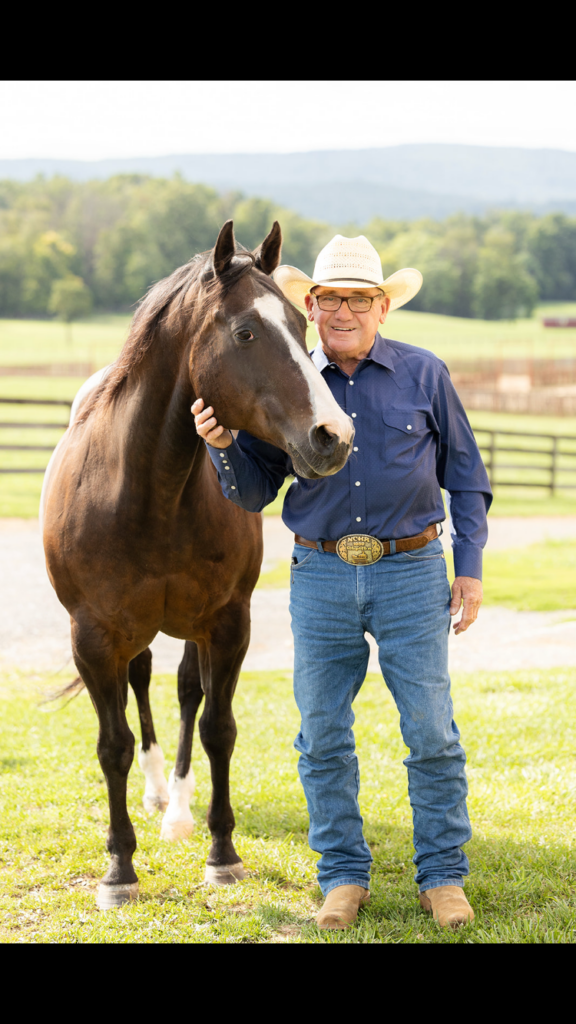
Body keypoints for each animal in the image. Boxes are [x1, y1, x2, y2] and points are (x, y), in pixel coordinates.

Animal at [41, 220, 354, 909]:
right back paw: (158, 794)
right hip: (131, 633)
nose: (333, 436)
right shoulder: (92, 636)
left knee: (186, 692)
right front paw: (119, 869)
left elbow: (217, 727)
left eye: (302, 321)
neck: (148, 491)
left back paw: (179, 810)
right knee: (141, 685)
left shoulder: (227, 624)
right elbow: (112, 745)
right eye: (246, 333)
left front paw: (222, 853)